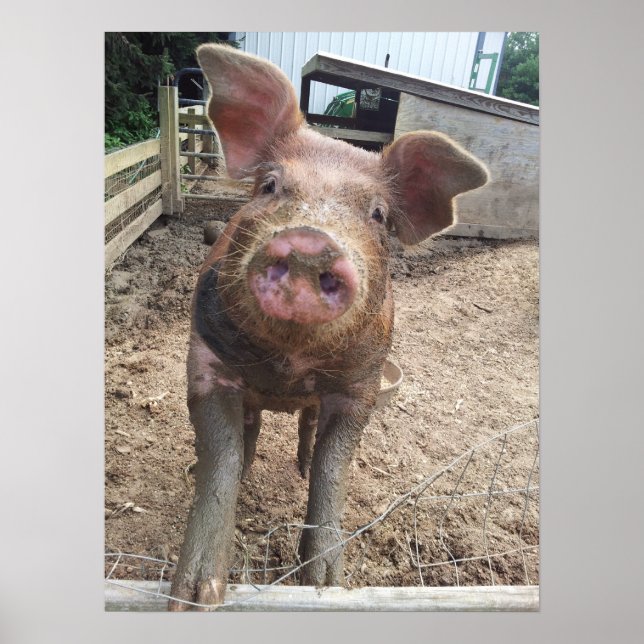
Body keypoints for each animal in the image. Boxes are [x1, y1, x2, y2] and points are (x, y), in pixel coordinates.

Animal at [168, 43, 489, 610]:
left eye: (378, 214)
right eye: (270, 185)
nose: (310, 242)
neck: (287, 364)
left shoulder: (360, 384)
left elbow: (331, 470)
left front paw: (323, 584)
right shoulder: (205, 362)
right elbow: (220, 459)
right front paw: (192, 599)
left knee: (307, 429)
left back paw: (296, 464)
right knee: (251, 431)